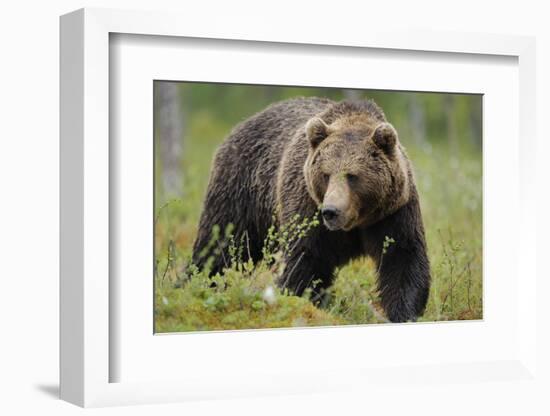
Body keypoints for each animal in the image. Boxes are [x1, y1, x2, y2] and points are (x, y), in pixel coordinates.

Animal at [193, 96, 432, 322]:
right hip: (241, 190)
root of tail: (242, 124)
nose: (331, 211)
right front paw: (306, 303)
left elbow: (402, 258)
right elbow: (304, 261)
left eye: (352, 176)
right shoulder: (307, 208)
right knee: (220, 245)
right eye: (326, 174)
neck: (356, 222)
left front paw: (403, 313)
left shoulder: (393, 212)